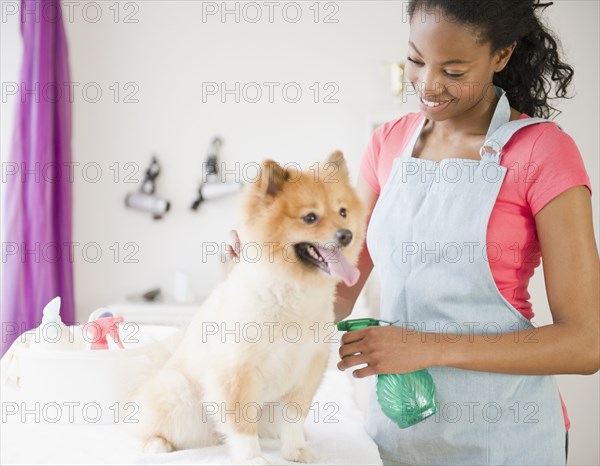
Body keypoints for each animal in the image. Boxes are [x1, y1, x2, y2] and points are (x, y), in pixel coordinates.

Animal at [135, 151, 366, 464]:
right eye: (310, 217)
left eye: (342, 212)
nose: (346, 235)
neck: (292, 292)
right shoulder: (237, 371)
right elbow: (242, 423)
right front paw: (251, 458)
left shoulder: (307, 369)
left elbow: (294, 418)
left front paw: (295, 449)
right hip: (179, 393)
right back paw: (156, 444)